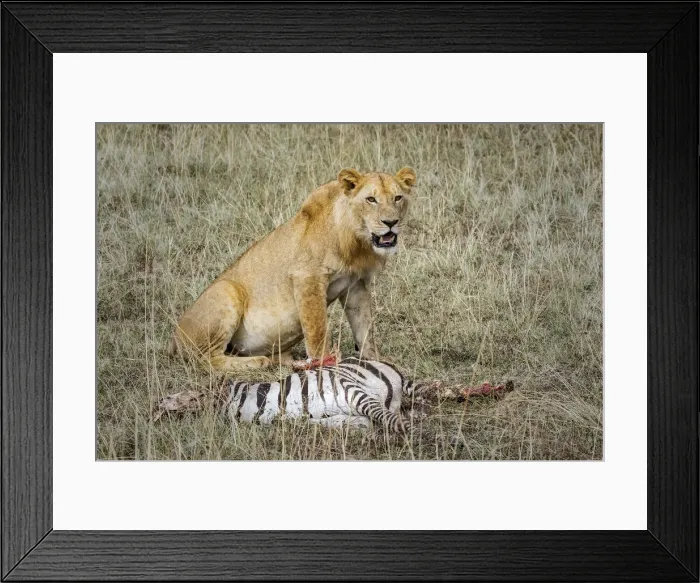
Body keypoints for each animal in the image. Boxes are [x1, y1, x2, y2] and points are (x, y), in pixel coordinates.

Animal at [170, 167, 417, 372]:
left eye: (397, 198)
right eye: (371, 199)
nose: (391, 223)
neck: (357, 243)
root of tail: (174, 339)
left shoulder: (356, 284)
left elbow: (364, 327)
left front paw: (377, 361)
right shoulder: (308, 277)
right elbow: (318, 330)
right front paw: (324, 365)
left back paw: (286, 360)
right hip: (225, 290)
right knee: (205, 358)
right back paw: (257, 362)